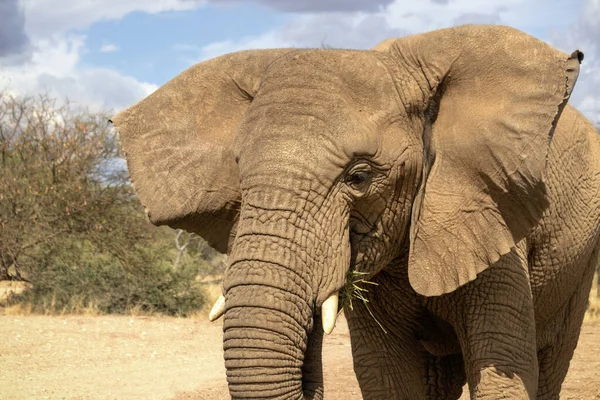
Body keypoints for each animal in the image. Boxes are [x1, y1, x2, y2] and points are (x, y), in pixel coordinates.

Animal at [109, 25, 600, 400]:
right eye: (237, 172)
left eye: (359, 176)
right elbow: (387, 377)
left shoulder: (485, 207)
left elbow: (503, 372)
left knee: (551, 356)